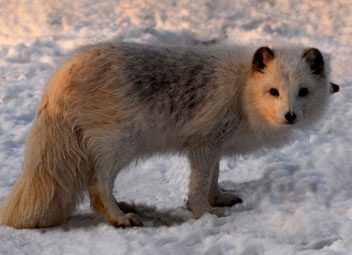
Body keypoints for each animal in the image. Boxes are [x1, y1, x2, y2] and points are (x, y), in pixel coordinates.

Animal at [1, 41, 340, 229]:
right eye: (274, 91)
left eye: (303, 92)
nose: (290, 116)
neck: (242, 89)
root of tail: (59, 76)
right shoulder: (204, 145)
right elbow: (198, 186)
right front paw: (204, 214)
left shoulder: (213, 146)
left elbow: (213, 178)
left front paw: (218, 199)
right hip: (121, 146)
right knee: (97, 186)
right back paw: (119, 218)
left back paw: (124, 207)